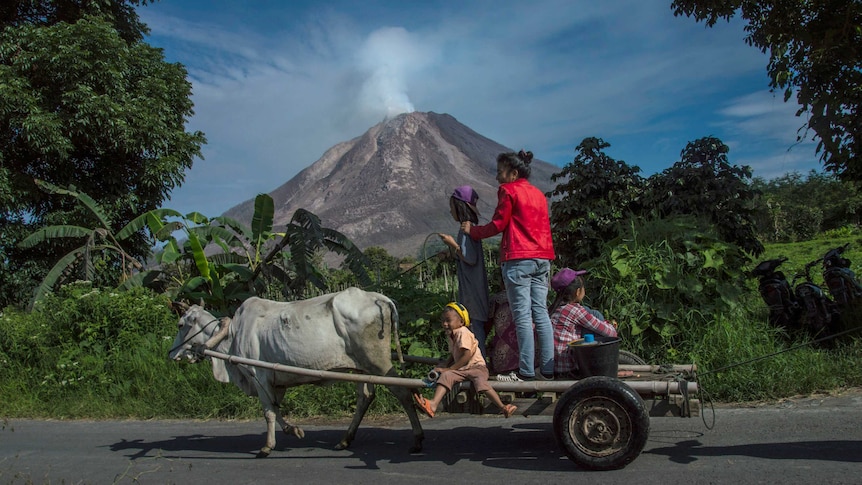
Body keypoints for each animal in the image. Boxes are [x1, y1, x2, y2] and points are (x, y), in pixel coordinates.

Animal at [170, 288, 426, 454]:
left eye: (181, 325)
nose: (171, 353)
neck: (232, 336)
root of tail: (379, 298)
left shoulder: (258, 375)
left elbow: (268, 412)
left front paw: (267, 446)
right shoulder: (275, 382)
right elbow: (275, 409)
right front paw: (294, 430)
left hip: (379, 363)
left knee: (403, 393)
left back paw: (417, 440)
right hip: (361, 368)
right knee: (365, 397)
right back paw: (345, 440)